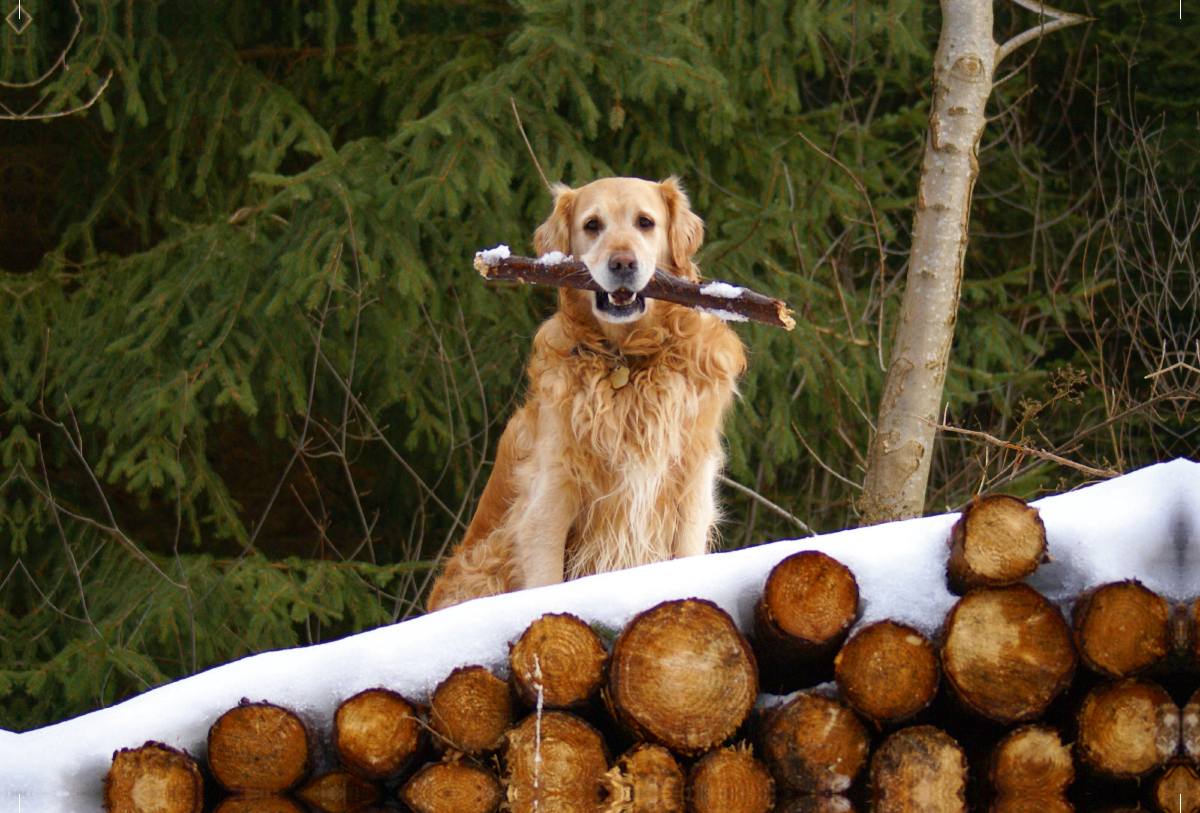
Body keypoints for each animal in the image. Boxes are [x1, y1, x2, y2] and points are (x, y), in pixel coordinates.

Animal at [427, 178, 744, 611]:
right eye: (592, 225)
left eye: (645, 222)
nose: (623, 263)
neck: (627, 358)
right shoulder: (550, 497)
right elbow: (545, 579)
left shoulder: (690, 489)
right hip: (482, 562)